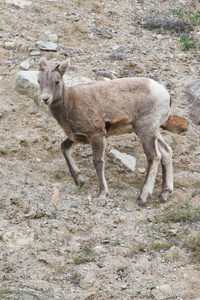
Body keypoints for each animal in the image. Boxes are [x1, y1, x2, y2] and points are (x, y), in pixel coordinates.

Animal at [38, 57, 173, 205]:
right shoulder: (77, 137)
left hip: (145, 129)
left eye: (56, 82)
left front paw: (102, 193)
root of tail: (164, 94)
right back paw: (164, 194)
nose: (45, 99)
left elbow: (98, 162)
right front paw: (79, 181)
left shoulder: (96, 135)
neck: (70, 104)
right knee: (166, 152)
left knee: (154, 156)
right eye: (39, 81)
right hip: (153, 132)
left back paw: (142, 197)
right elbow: (63, 147)